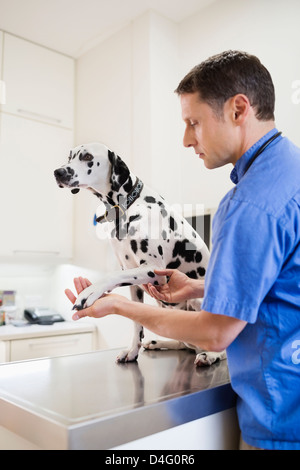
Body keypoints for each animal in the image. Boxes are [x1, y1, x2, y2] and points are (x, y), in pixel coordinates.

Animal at [54, 143, 225, 368]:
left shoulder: (153, 270)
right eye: (69, 157)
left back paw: (211, 355)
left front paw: (89, 292)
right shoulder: (133, 283)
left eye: (88, 157)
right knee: (183, 341)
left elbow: (111, 276)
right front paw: (132, 351)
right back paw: (158, 342)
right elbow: (136, 322)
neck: (129, 206)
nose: (57, 172)